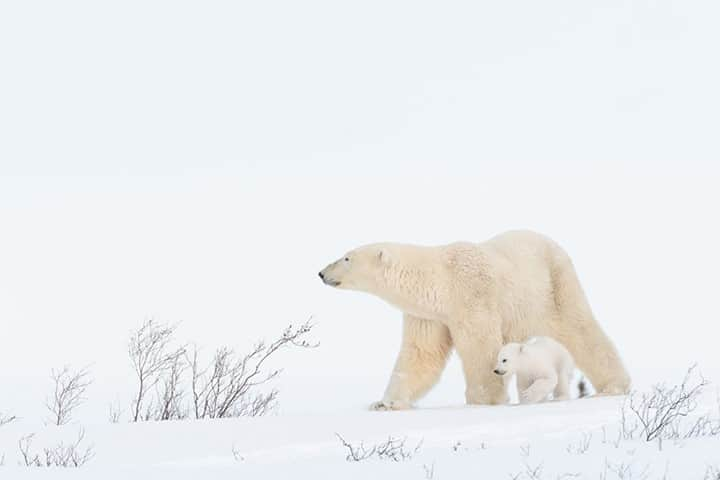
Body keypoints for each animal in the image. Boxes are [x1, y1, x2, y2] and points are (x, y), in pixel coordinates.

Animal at [320, 231, 632, 410]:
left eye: (346, 258)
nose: (322, 272)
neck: (441, 280)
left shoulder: (471, 295)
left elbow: (481, 348)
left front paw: (485, 400)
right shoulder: (429, 315)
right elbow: (420, 355)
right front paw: (386, 402)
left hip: (552, 286)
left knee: (579, 328)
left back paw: (614, 386)